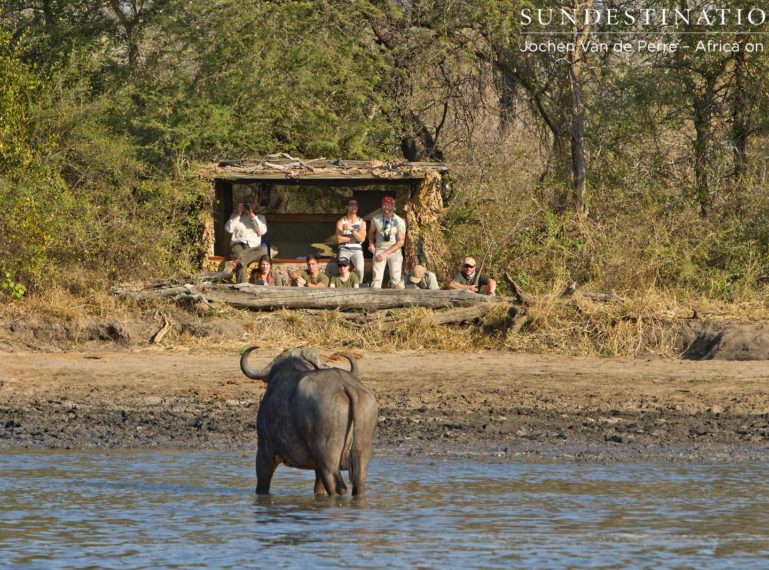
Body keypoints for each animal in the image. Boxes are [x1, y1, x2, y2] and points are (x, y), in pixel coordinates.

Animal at [237, 344, 376, 494]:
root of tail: (345, 385)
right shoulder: (316, 467)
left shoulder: (264, 452)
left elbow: (262, 485)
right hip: (361, 454)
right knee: (358, 484)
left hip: (327, 459)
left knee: (337, 487)